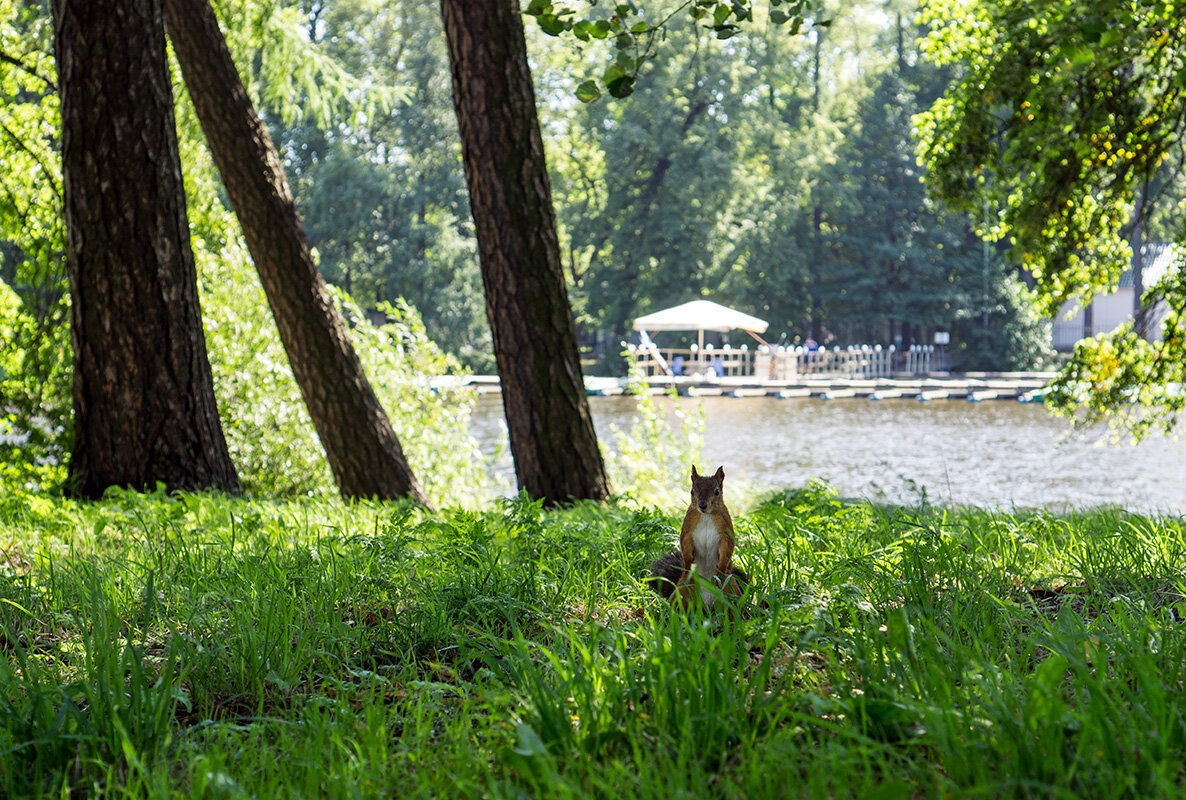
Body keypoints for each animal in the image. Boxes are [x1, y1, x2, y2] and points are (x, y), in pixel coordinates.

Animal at [649, 462, 749, 606]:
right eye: (692, 491)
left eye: (717, 492)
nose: (702, 505)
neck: (706, 515)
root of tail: (707, 605)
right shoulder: (688, 528)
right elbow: (684, 543)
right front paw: (687, 561)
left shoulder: (725, 530)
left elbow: (728, 547)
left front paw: (721, 568)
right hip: (682, 591)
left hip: (731, 590)